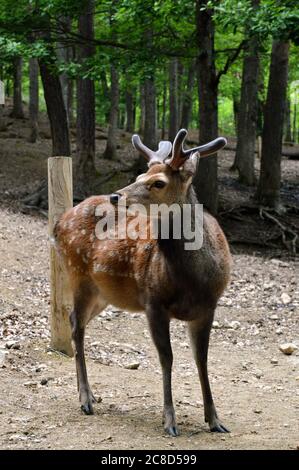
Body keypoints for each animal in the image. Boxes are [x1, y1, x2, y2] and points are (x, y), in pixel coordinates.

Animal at [54, 129, 232, 436]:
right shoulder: (153, 302)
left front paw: (215, 419)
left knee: (77, 320)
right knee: (76, 325)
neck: (193, 281)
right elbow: (167, 358)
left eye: (158, 182)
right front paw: (170, 421)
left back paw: (88, 394)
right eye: (139, 175)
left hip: (103, 294)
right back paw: (86, 398)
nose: (115, 196)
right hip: (77, 275)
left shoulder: (208, 307)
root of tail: (58, 223)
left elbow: (202, 359)